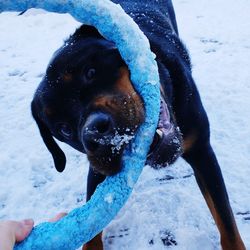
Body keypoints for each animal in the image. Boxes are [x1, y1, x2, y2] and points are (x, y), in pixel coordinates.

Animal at [30, 0, 245, 250]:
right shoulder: (98, 170)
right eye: (63, 128)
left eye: (90, 72)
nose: (95, 133)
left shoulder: (203, 152)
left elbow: (226, 222)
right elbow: (91, 232)